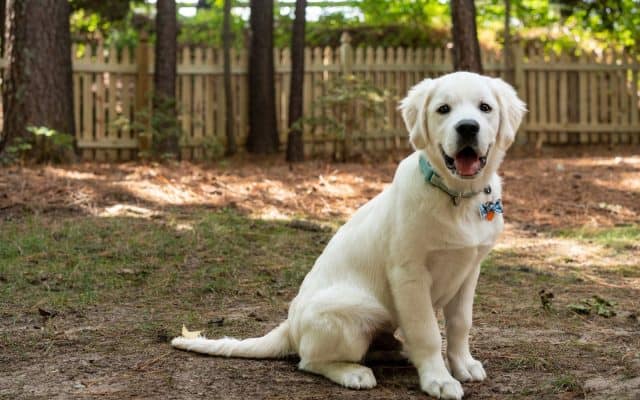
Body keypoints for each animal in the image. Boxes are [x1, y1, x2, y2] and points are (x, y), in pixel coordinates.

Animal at [171, 72, 524, 400]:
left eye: (485, 108)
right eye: (443, 109)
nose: (467, 128)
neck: (457, 196)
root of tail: (290, 326)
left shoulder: (469, 269)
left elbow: (460, 323)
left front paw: (462, 364)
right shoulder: (409, 274)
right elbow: (427, 331)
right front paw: (437, 379)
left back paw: (396, 352)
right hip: (357, 311)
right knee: (309, 360)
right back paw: (354, 372)